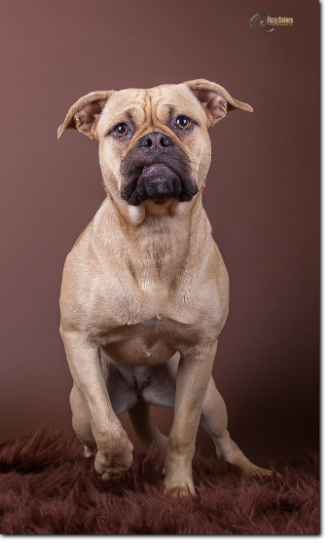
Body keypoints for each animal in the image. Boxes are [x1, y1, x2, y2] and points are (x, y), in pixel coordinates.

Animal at [57, 77, 270, 498]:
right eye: (121, 129)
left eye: (183, 121)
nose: (155, 140)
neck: (154, 235)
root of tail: (139, 392)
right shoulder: (78, 339)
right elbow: (106, 424)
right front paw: (114, 462)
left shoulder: (201, 353)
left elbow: (183, 433)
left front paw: (177, 489)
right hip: (78, 413)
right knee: (92, 433)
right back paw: (98, 461)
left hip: (212, 399)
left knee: (223, 442)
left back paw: (252, 471)